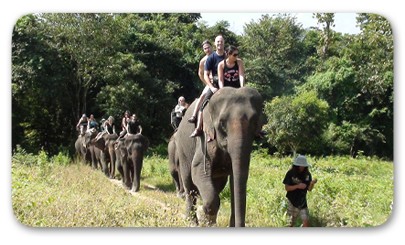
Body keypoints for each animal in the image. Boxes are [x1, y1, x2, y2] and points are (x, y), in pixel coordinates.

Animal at [174, 86, 264, 228]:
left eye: (255, 123)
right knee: (189, 183)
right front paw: (206, 213)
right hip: (182, 149)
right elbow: (198, 169)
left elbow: (236, 179)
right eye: (222, 124)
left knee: (217, 184)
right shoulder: (204, 136)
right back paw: (192, 222)